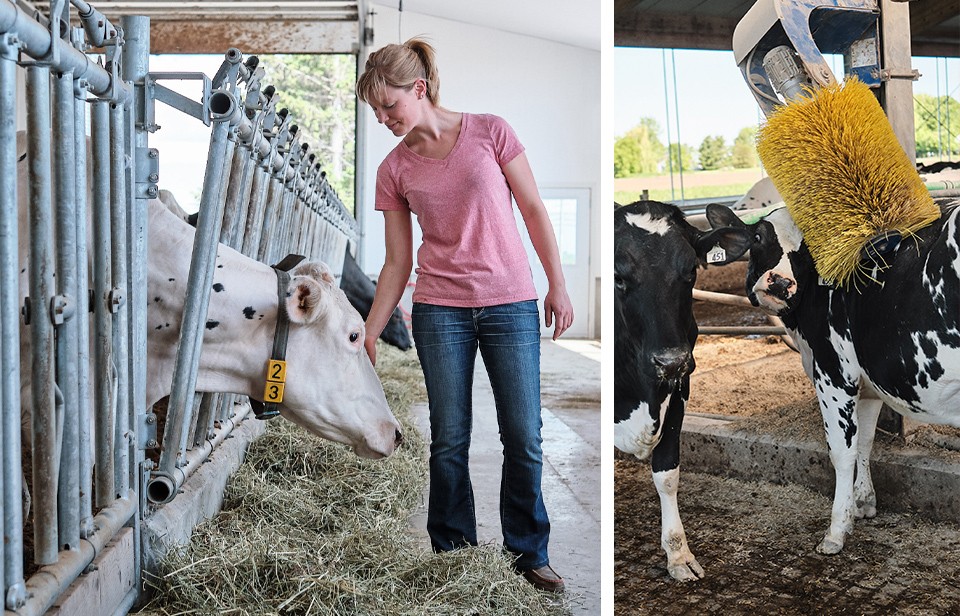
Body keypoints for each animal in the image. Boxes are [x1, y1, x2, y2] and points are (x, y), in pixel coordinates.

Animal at [616, 200, 752, 580]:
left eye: (691, 269)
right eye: (618, 276)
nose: (670, 361)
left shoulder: (679, 393)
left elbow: (667, 475)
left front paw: (678, 555)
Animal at [704, 201, 960, 552]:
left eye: (809, 248)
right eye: (758, 237)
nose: (780, 284)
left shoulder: (833, 373)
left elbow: (841, 451)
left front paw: (836, 530)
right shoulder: (867, 383)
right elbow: (865, 441)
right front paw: (863, 502)